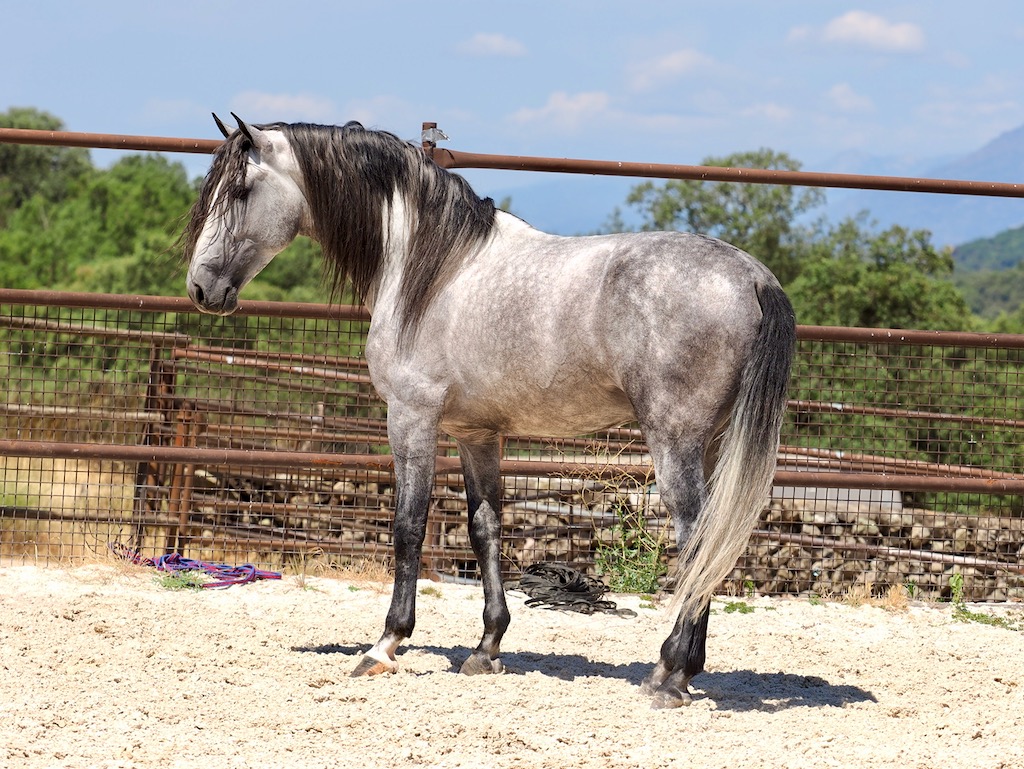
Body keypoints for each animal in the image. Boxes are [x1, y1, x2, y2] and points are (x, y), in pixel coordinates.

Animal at [182, 114, 795, 709]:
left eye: (239, 190)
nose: (200, 288)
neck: (427, 268)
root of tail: (753, 276)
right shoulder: (475, 434)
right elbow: (485, 529)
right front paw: (486, 647)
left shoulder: (411, 418)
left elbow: (408, 527)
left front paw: (384, 645)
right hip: (709, 443)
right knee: (710, 543)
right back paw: (684, 672)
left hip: (674, 439)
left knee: (694, 538)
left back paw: (667, 674)